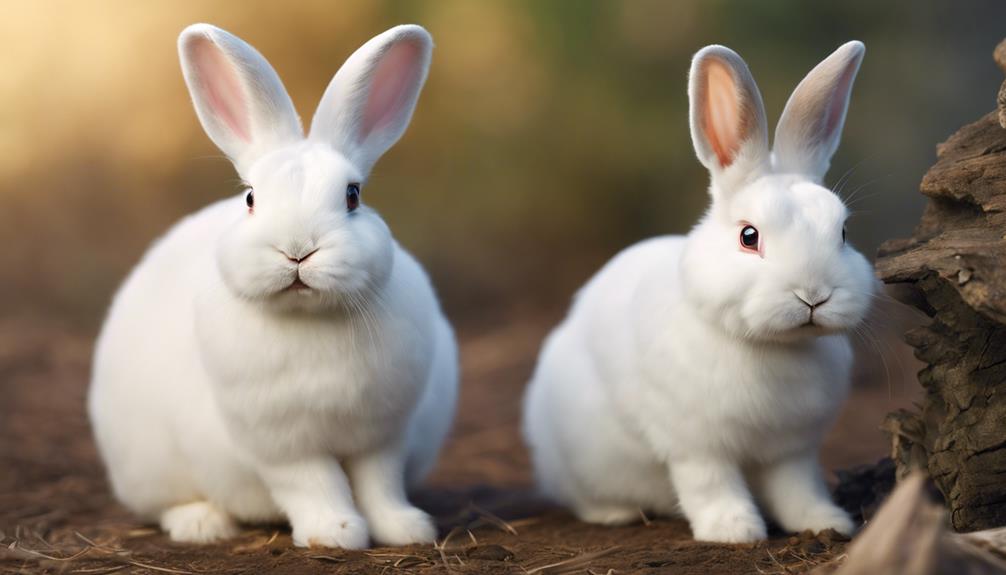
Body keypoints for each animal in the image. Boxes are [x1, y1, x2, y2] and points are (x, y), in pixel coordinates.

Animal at [88, 24, 458, 550]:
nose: (297, 250)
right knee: (169, 503)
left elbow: (379, 484)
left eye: (353, 195)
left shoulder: (382, 436)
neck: (309, 318)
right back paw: (202, 525)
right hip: (150, 466)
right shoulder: (282, 445)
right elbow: (316, 484)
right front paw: (335, 533)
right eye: (249, 198)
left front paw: (405, 528)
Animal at [527, 41, 873, 542]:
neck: (772, 347)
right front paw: (735, 530)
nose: (813, 296)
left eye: (843, 232)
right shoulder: (695, 445)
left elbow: (798, 487)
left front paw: (824, 522)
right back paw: (613, 513)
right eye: (749, 236)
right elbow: (711, 485)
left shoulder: (791, 450)